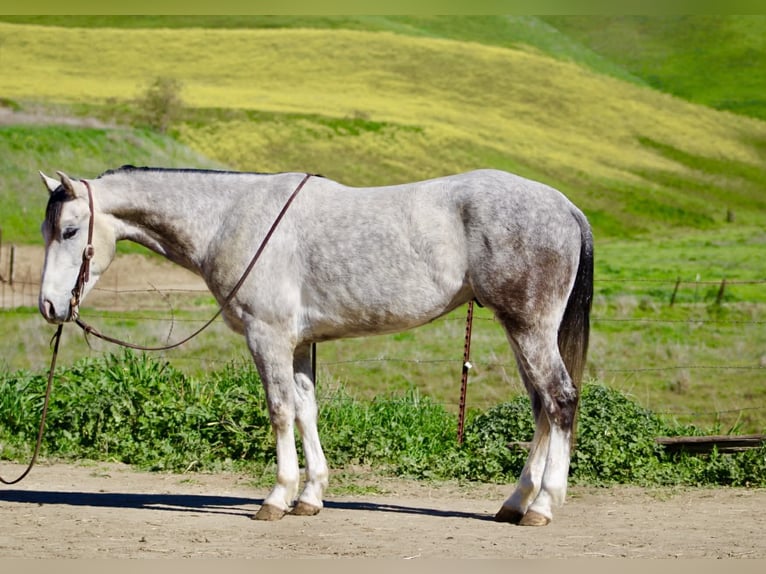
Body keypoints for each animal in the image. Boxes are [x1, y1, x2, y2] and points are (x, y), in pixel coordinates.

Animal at [37, 166, 593, 526]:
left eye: (70, 230)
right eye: (48, 229)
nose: (49, 306)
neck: (231, 218)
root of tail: (565, 206)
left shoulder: (268, 337)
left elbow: (280, 411)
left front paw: (276, 498)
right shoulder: (300, 344)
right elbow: (307, 411)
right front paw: (310, 496)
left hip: (528, 327)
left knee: (560, 399)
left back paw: (544, 505)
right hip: (521, 330)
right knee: (541, 405)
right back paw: (516, 503)